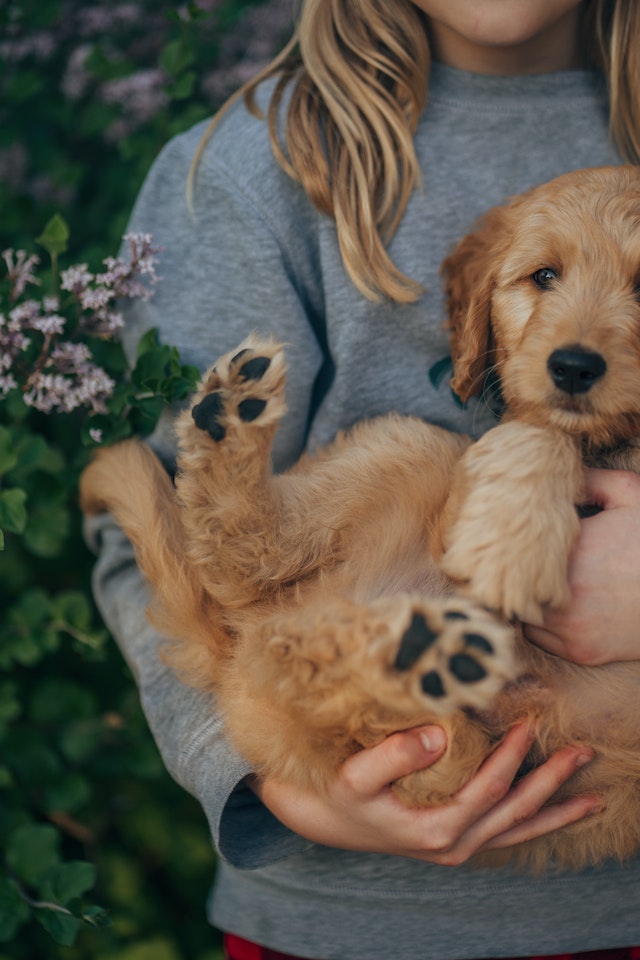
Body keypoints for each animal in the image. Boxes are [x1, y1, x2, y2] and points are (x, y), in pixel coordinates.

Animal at [81, 167, 640, 876]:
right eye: (545, 277)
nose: (571, 366)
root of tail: (246, 642)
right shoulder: (501, 450)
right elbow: (544, 433)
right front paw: (514, 547)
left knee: (432, 749)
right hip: (413, 450)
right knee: (247, 560)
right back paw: (232, 419)